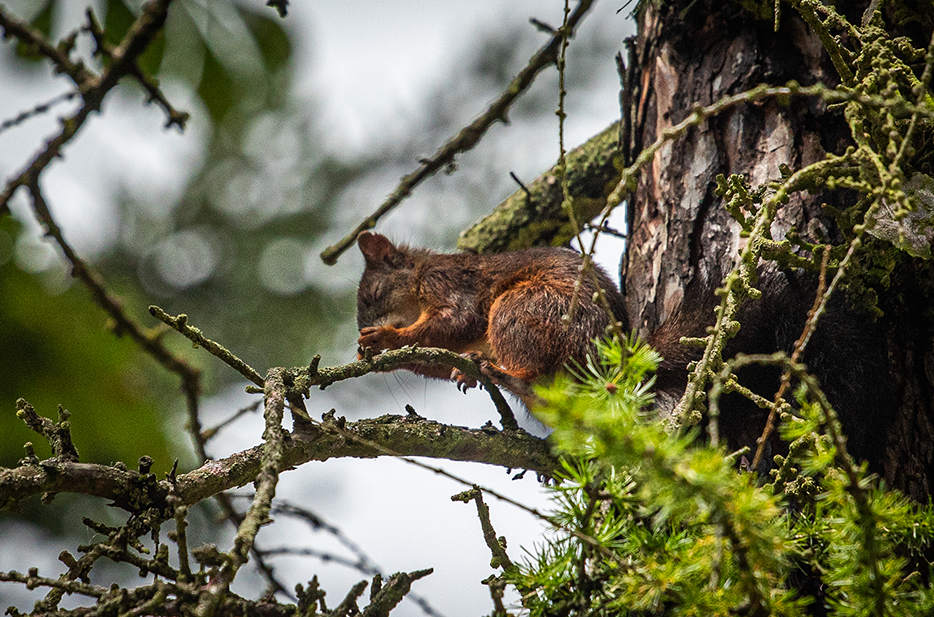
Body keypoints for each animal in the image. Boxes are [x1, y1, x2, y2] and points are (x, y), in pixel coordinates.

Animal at [355, 231, 627, 408]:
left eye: (376, 293)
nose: (365, 330)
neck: (419, 274)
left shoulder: (445, 282)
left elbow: (458, 321)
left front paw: (385, 337)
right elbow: (437, 361)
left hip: (526, 307)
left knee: (531, 372)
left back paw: (502, 373)